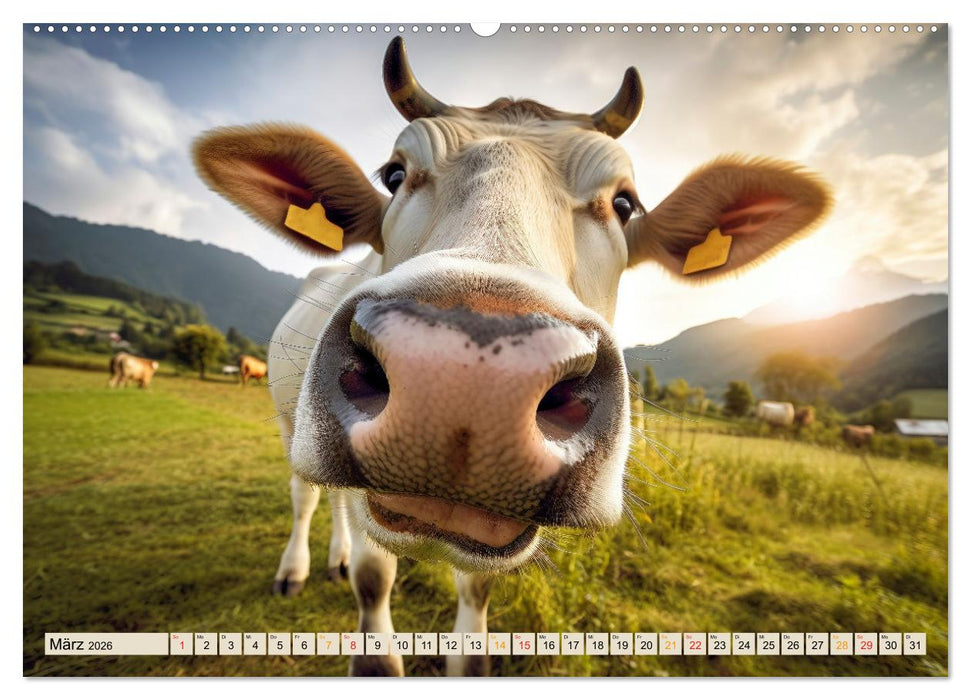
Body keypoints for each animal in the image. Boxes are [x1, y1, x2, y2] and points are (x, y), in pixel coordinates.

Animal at [192, 38, 831, 676]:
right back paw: (296, 570)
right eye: (394, 174)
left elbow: (476, 592)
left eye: (624, 203)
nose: (467, 383)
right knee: (306, 495)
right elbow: (374, 577)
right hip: (287, 420)